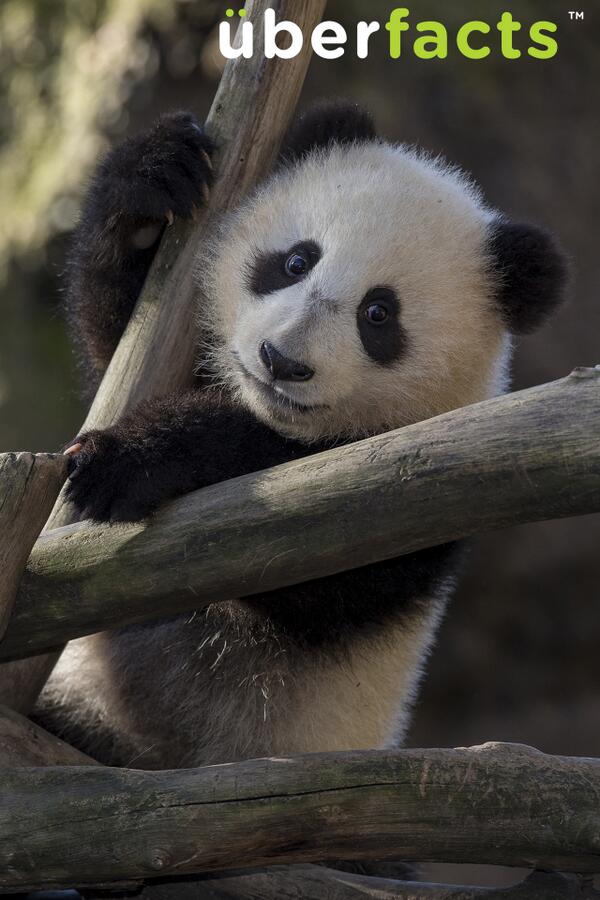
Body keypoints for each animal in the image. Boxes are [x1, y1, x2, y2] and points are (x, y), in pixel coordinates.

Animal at [37, 101, 567, 768]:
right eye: (296, 261)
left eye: (378, 314)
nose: (281, 361)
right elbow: (119, 352)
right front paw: (151, 184)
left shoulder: (418, 501)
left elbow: (296, 553)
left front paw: (128, 459)